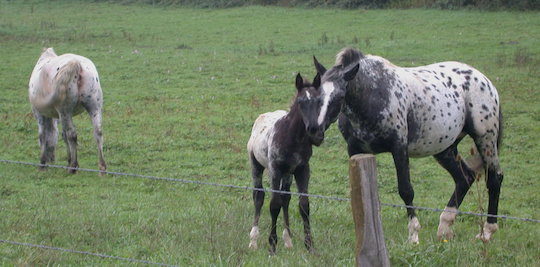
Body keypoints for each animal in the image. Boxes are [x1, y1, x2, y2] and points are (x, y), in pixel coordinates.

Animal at [246, 73, 324, 253]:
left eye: (319, 101)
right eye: (300, 102)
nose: (314, 130)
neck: (293, 138)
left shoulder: (302, 169)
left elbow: (304, 205)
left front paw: (309, 245)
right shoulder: (275, 170)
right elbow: (274, 204)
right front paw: (272, 244)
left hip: (288, 173)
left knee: (285, 197)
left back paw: (288, 240)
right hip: (257, 165)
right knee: (258, 195)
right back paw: (253, 240)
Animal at [310, 48, 504, 245]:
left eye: (340, 96)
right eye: (315, 93)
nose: (314, 130)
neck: (373, 94)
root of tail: (485, 81)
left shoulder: (399, 148)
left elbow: (406, 190)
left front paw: (413, 234)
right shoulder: (355, 150)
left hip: (485, 139)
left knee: (494, 179)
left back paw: (487, 231)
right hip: (445, 149)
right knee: (465, 178)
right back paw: (445, 228)